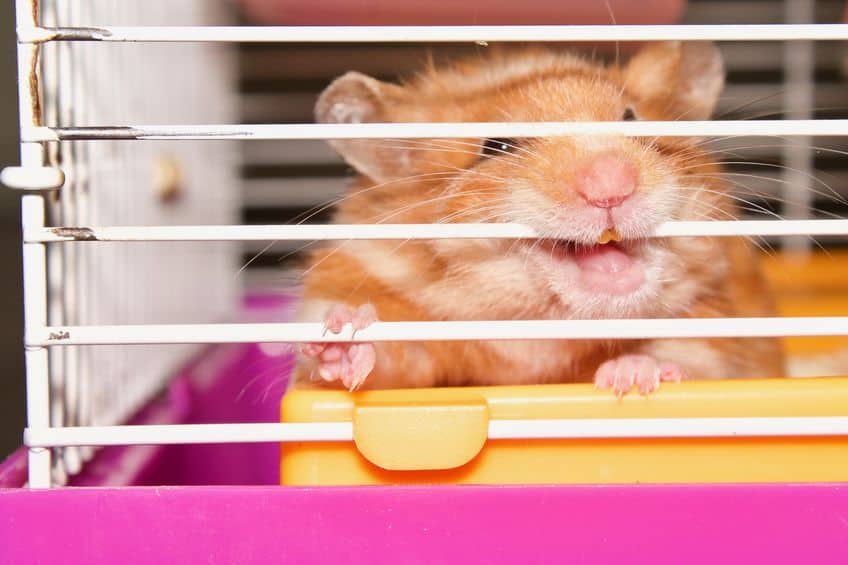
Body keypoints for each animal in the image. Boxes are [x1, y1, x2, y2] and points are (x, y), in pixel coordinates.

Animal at [289, 41, 785, 396]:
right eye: (496, 147)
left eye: (632, 117)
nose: (611, 185)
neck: (537, 327)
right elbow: (388, 365)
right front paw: (342, 335)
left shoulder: (714, 326)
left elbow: (688, 357)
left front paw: (632, 375)